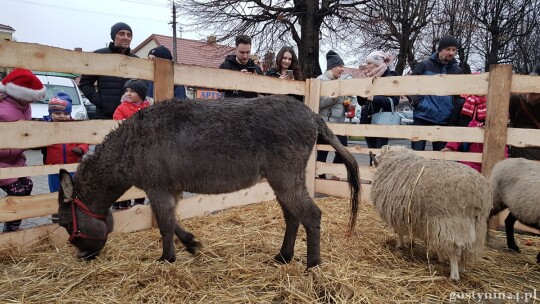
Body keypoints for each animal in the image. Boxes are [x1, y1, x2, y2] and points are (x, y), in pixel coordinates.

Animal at [372, 145, 494, 280]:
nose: (373, 158)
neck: (395, 158)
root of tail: (478, 193)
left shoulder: (397, 213)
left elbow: (399, 232)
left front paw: (400, 245)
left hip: (451, 223)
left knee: (454, 249)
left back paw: (454, 275)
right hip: (476, 226)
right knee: (466, 248)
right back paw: (462, 268)